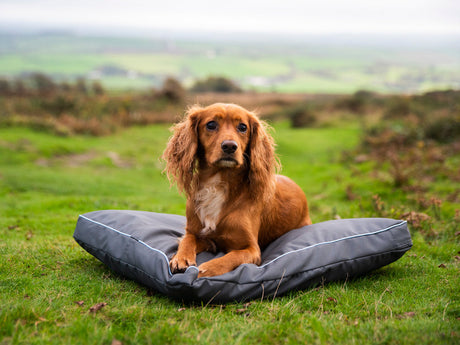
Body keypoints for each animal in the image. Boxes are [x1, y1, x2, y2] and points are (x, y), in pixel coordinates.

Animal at [164, 103, 310, 276]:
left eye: (242, 127)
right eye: (211, 124)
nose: (229, 146)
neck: (218, 183)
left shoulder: (252, 249)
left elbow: (230, 257)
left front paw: (206, 269)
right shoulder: (199, 234)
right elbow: (187, 240)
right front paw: (181, 258)